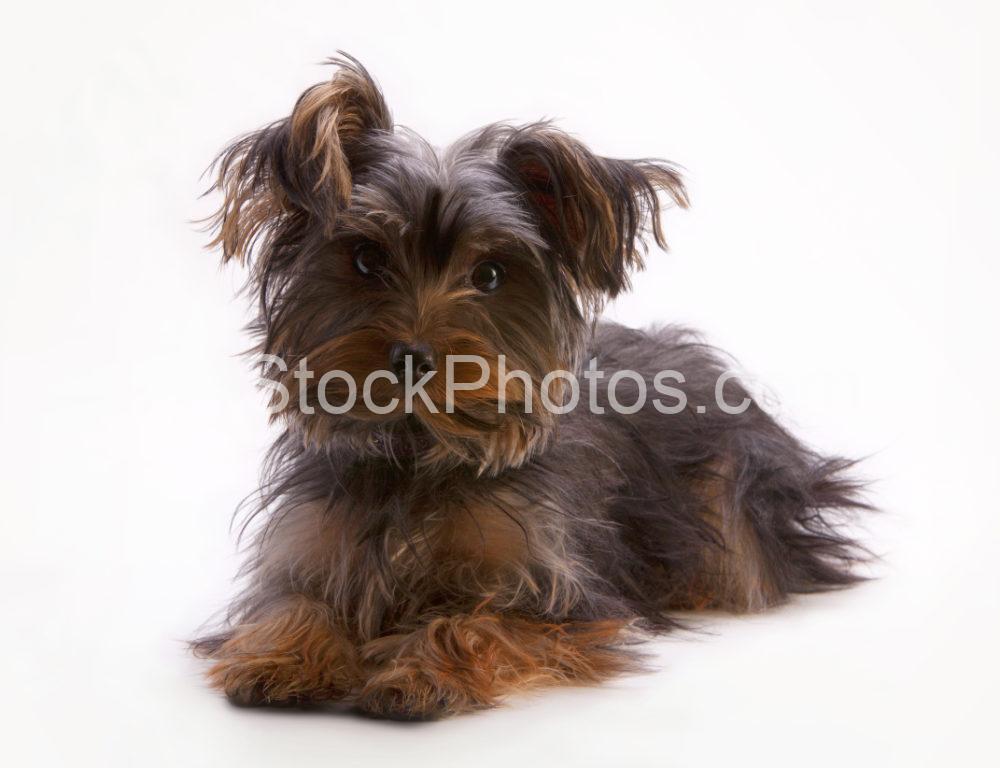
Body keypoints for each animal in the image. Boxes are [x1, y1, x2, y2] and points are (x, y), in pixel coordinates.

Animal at [193, 55, 868, 720]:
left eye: (490, 274)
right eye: (366, 259)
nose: (412, 355)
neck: (417, 451)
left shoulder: (559, 593)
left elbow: (478, 620)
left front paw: (420, 671)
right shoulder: (308, 546)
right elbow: (291, 605)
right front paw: (283, 656)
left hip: (730, 496)